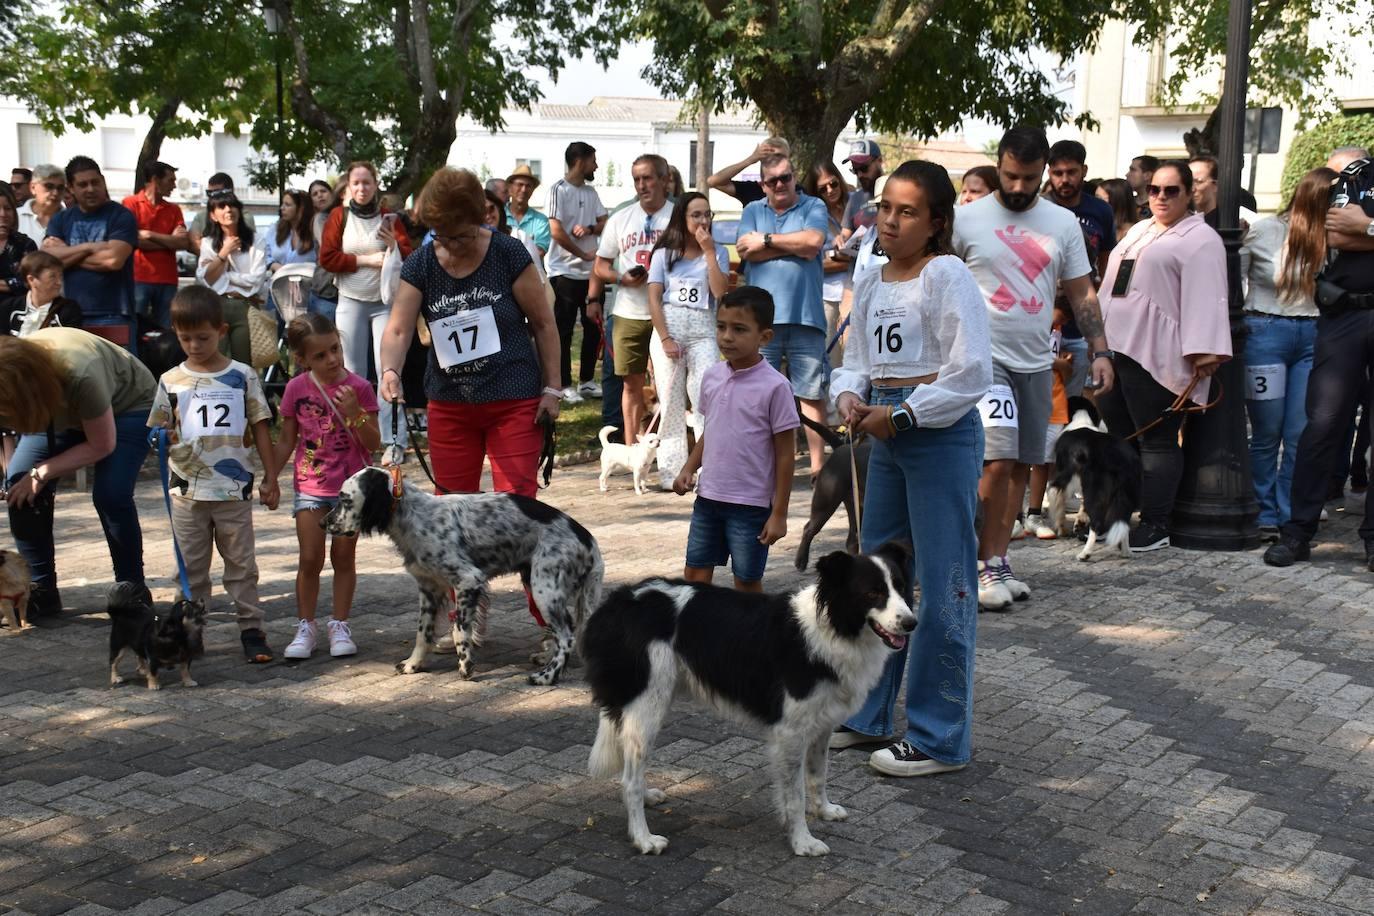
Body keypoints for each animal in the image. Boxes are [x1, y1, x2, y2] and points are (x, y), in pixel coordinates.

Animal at [324, 469, 604, 683]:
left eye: (345, 500)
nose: (322, 523)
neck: (413, 515)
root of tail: (587, 539)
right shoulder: (428, 588)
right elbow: (422, 632)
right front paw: (412, 665)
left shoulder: (468, 580)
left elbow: (460, 631)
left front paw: (466, 668)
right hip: (535, 581)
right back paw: (545, 658)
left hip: (544, 588)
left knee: (566, 635)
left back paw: (546, 676)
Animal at [579, 541, 912, 856]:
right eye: (873, 592)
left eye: (900, 587)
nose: (912, 623)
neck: (832, 628)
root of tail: (618, 602)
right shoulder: (791, 732)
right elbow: (795, 795)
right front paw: (802, 841)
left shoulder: (822, 723)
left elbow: (818, 773)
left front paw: (824, 810)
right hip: (648, 705)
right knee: (630, 780)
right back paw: (644, 838)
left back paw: (648, 798)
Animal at [1044, 398, 1143, 563]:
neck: (1080, 420)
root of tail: (1121, 457)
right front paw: (1079, 522)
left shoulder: (1061, 479)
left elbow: (1058, 504)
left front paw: (1061, 529)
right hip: (1125, 493)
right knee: (1123, 520)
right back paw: (1126, 551)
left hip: (1095, 488)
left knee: (1097, 523)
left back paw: (1085, 554)